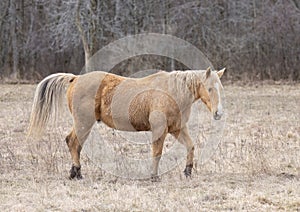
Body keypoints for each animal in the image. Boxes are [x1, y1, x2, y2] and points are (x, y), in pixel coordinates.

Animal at [28, 67, 225, 180]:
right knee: (73, 143)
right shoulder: (159, 130)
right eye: (209, 88)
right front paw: (154, 176)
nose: (218, 113)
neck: (171, 91)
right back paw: (76, 173)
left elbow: (191, 146)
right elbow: (157, 153)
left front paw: (188, 172)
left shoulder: (177, 129)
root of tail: (75, 78)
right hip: (83, 123)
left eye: (220, 88)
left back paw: (75, 173)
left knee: (73, 143)